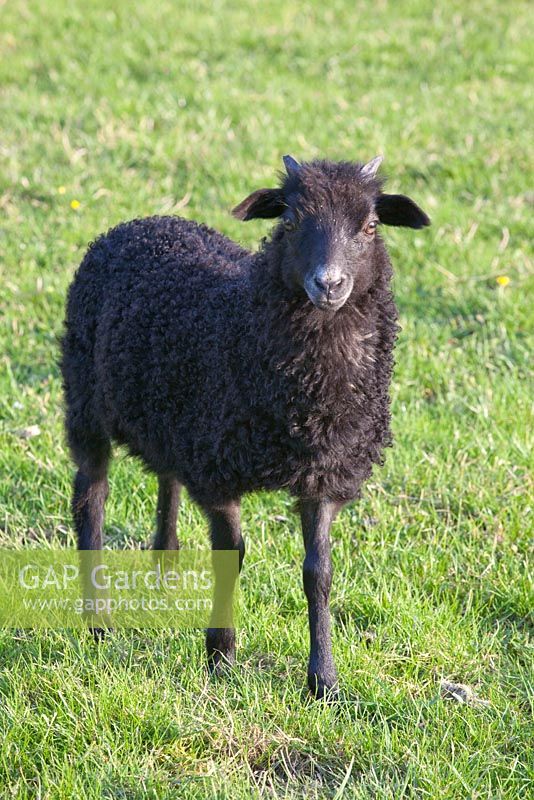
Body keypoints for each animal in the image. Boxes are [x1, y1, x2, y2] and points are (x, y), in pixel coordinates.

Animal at [61, 153, 432, 696]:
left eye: (369, 226)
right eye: (291, 221)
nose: (329, 284)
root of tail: (143, 222)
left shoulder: (323, 475)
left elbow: (319, 572)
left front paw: (324, 679)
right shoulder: (219, 473)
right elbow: (231, 556)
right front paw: (221, 658)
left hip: (174, 417)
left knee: (167, 477)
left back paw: (165, 570)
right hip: (86, 399)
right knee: (91, 495)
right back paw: (98, 620)